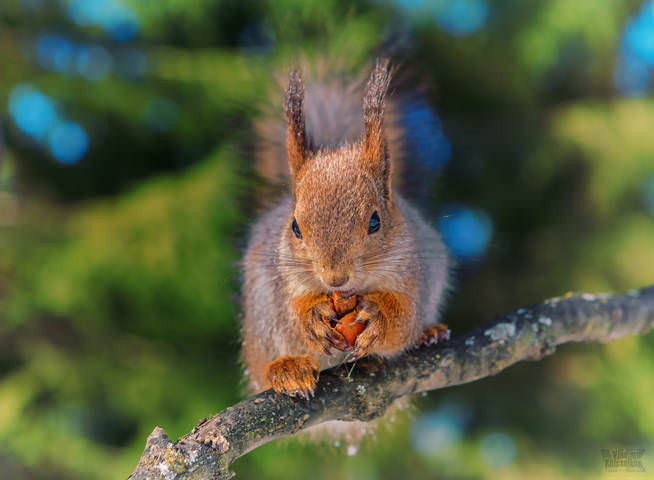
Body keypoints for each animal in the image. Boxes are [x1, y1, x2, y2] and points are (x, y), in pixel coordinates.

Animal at [241, 59, 450, 407]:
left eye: (375, 222)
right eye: (295, 227)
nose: (335, 278)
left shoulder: (412, 271)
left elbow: (404, 317)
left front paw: (379, 317)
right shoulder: (283, 281)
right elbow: (293, 315)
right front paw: (311, 317)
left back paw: (429, 333)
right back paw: (287, 369)